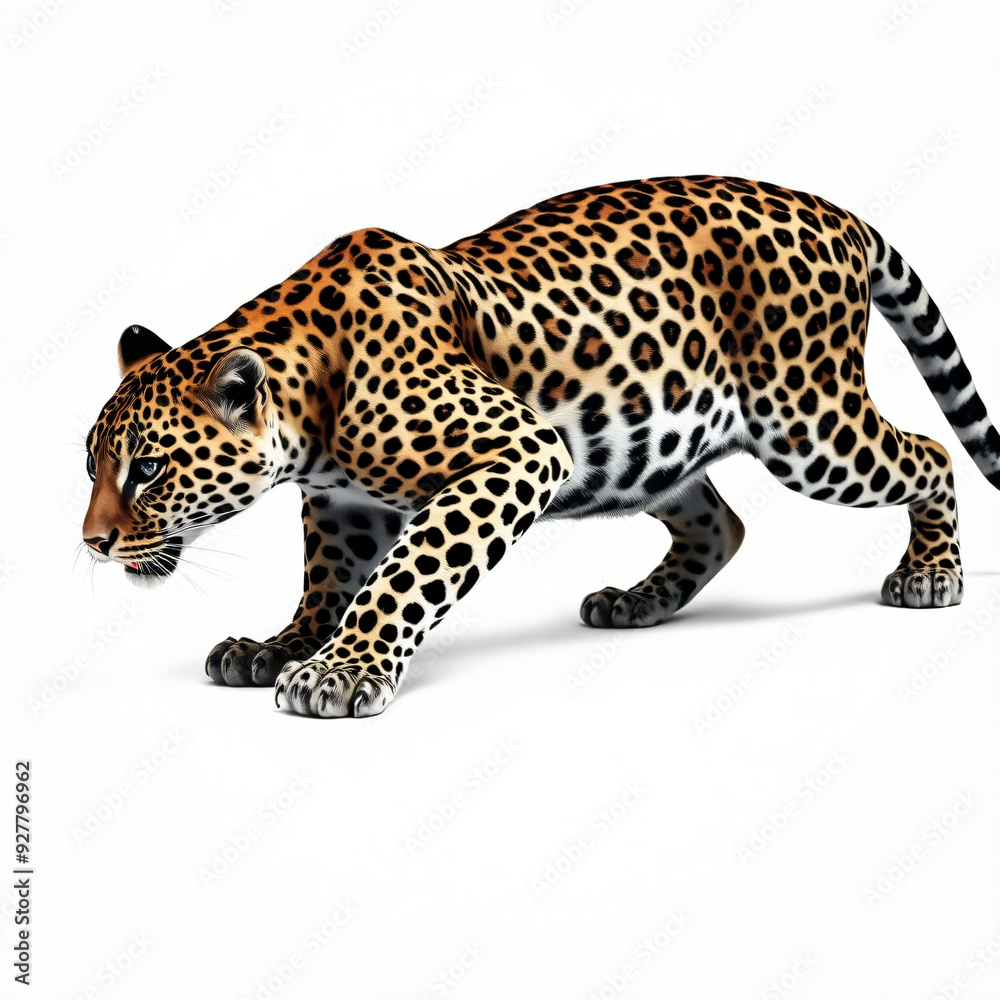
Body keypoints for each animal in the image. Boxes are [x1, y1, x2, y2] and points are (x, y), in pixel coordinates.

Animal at [82, 175, 1000, 718]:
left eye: (149, 468)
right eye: (91, 467)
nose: (91, 544)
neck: (311, 409)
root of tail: (832, 209)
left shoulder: (521, 449)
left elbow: (403, 576)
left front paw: (338, 673)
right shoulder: (341, 507)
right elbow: (329, 584)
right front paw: (283, 646)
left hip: (808, 422)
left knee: (929, 452)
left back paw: (931, 575)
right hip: (656, 440)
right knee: (720, 522)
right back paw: (638, 602)